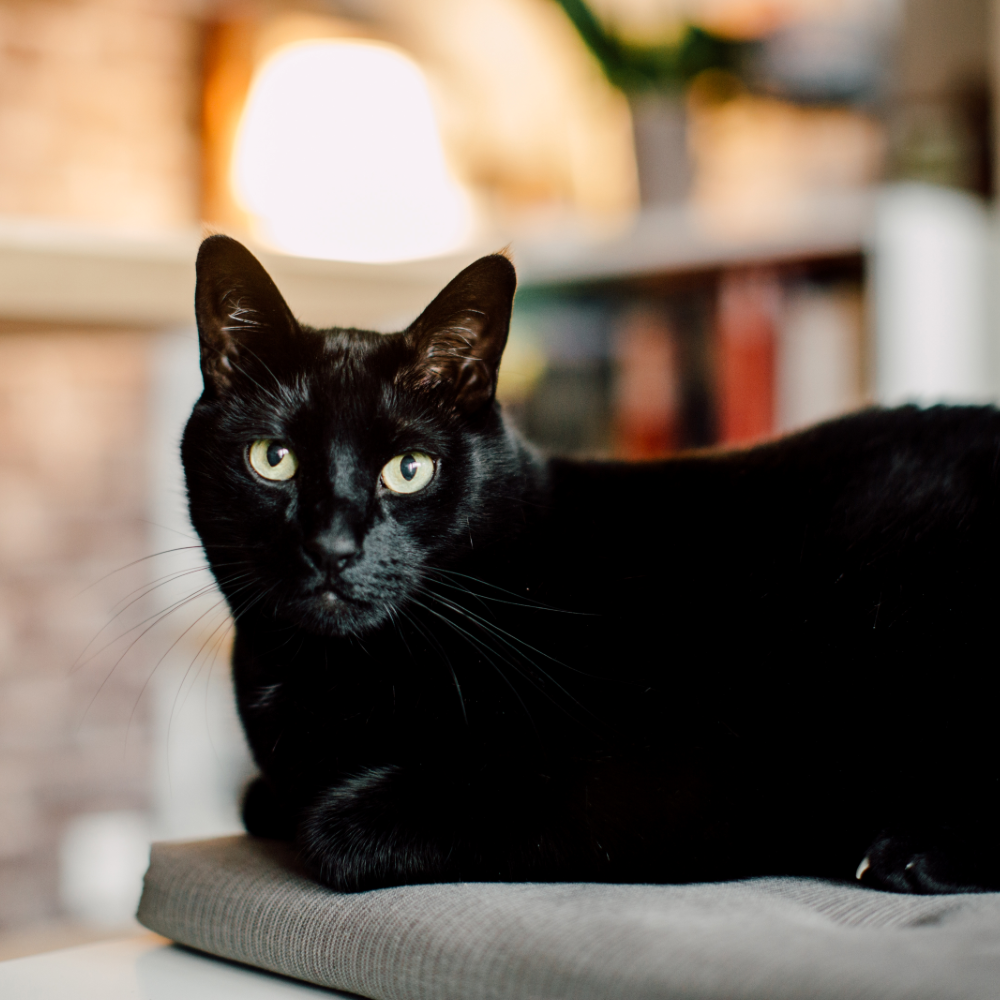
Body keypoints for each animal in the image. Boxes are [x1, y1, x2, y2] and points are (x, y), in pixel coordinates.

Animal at [182, 236, 1000, 900]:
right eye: (273, 459)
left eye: (408, 469)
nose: (333, 546)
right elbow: (262, 800)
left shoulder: (665, 779)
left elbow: (334, 829)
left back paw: (912, 853)